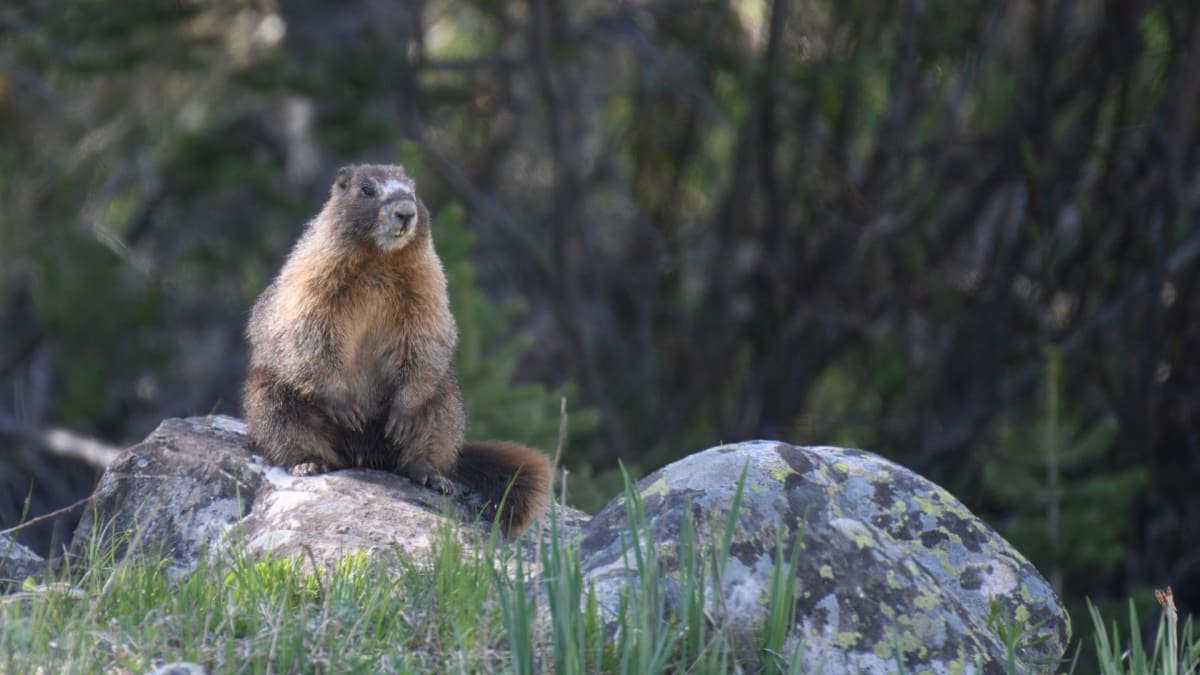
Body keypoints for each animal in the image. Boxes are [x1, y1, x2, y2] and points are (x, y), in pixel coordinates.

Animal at [242, 163, 550, 534]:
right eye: (366, 190)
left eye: (413, 190)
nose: (406, 211)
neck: (379, 259)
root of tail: (365, 454)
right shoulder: (312, 277)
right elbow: (309, 326)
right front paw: (343, 404)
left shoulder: (429, 282)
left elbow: (426, 334)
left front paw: (402, 414)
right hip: (269, 393)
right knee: (284, 420)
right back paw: (309, 462)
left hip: (445, 399)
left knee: (433, 429)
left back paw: (428, 472)